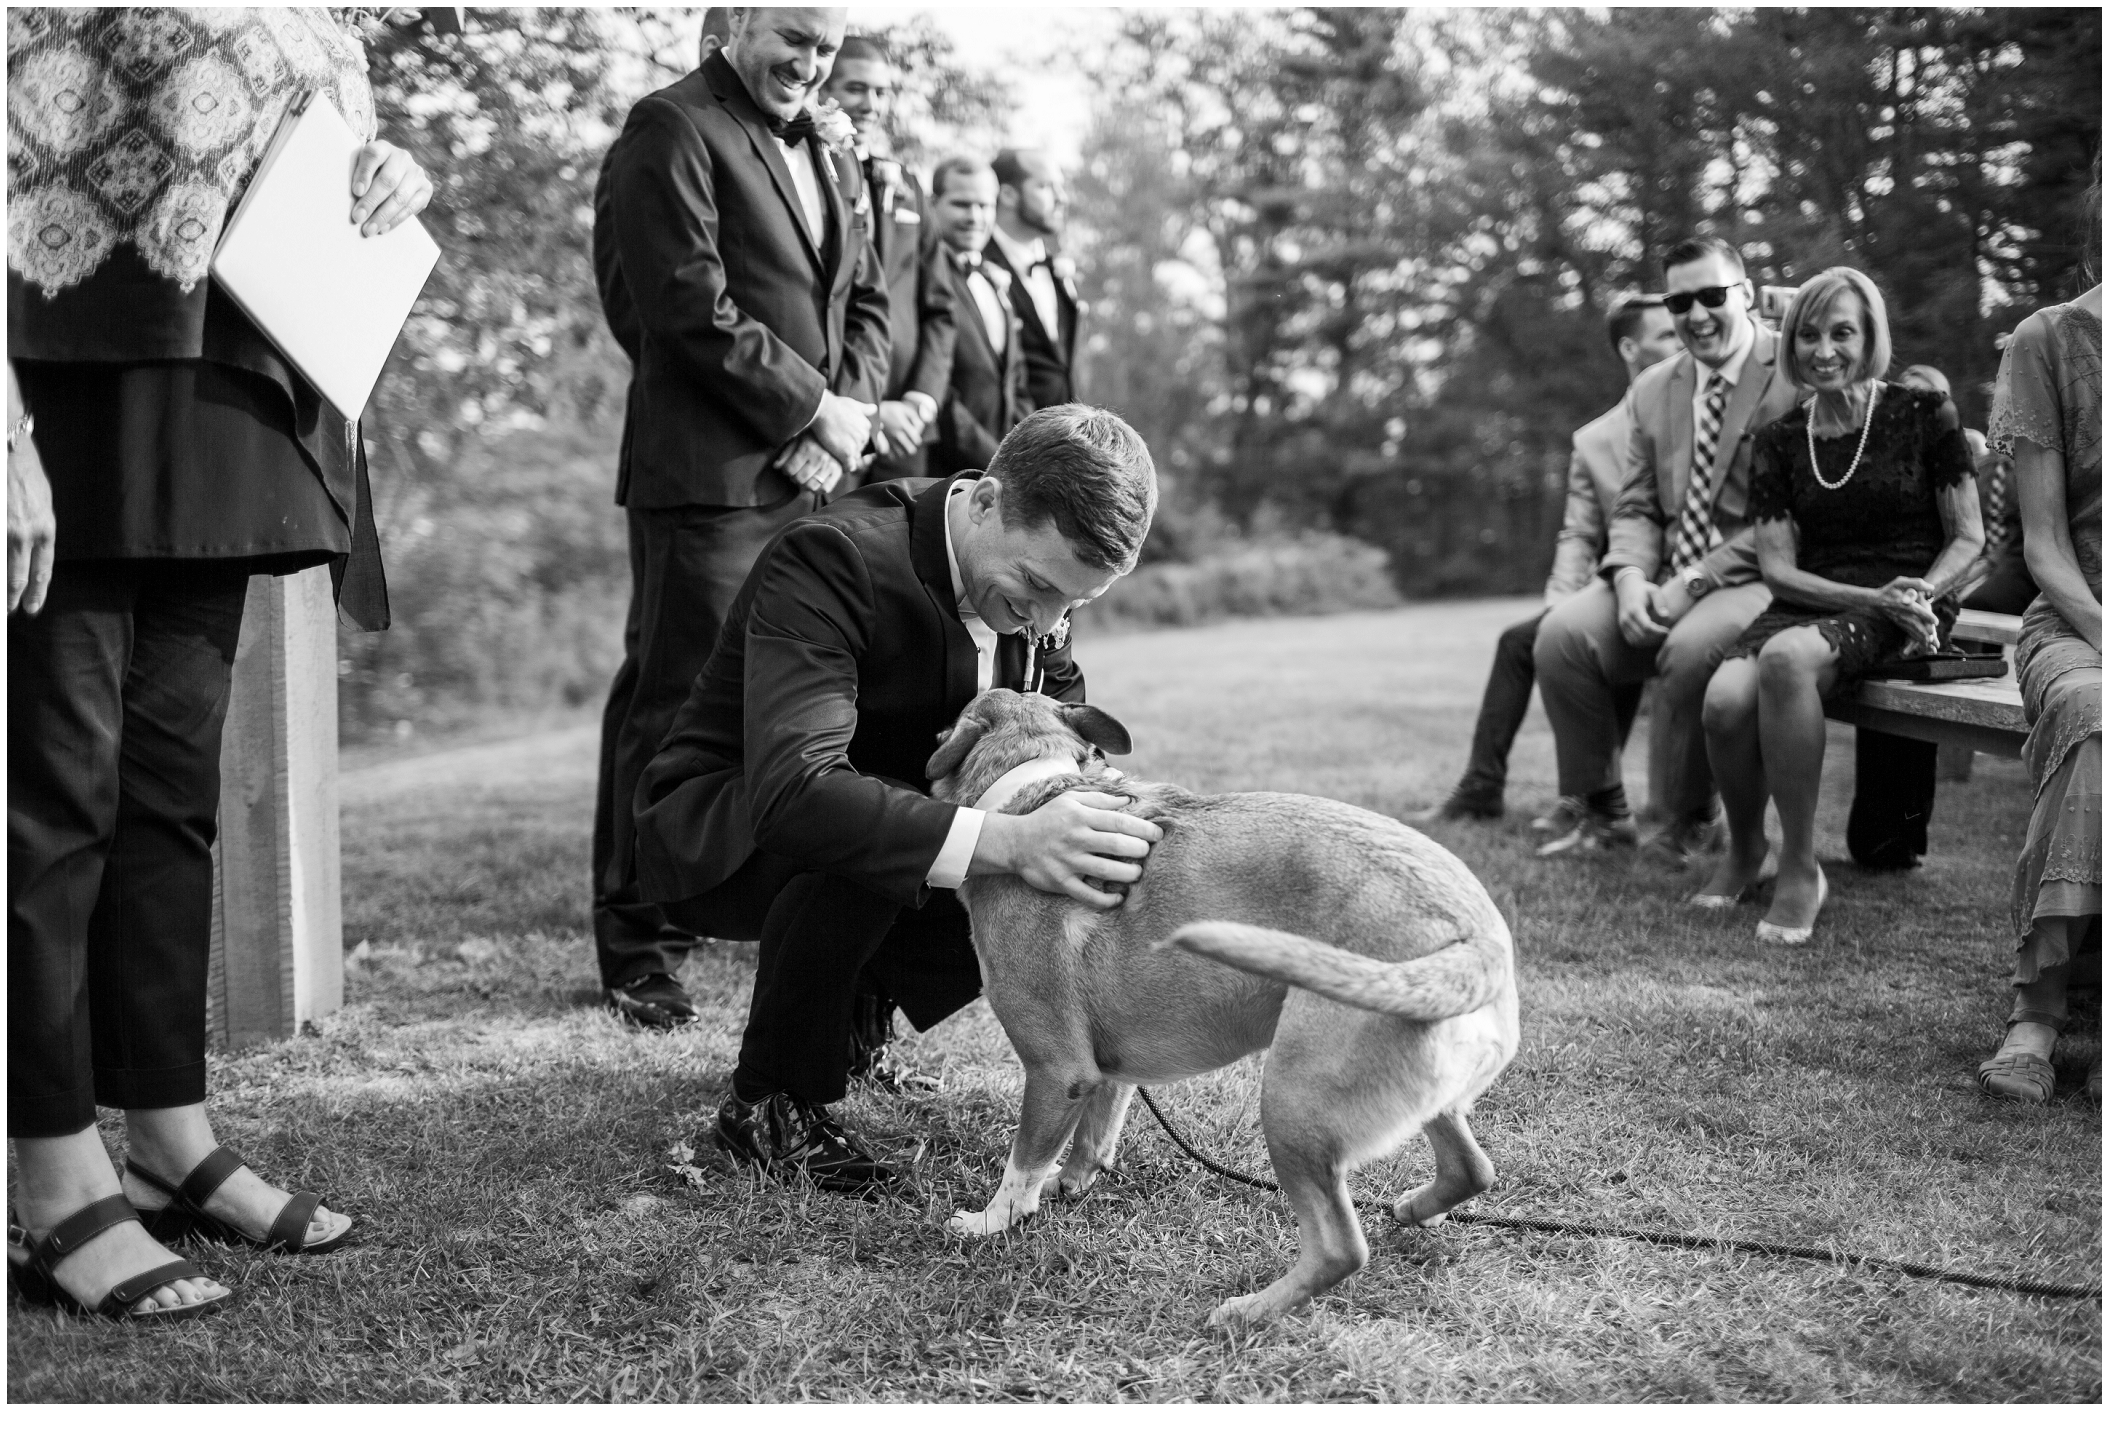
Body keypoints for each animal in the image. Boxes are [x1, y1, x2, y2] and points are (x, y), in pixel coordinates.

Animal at [936, 687, 1518, 1332]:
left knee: (1340, 1248)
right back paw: (1416, 1209)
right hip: (1417, 1096)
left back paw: (1246, 1313)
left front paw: (990, 1223)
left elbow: (1024, 1166)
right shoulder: (1107, 1072)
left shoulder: (1057, 1071)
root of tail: (1478, 942)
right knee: (1472, 1168)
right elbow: (1093, 1137)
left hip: (1292, 1103)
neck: (1033, 786)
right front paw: (1074, 1183)